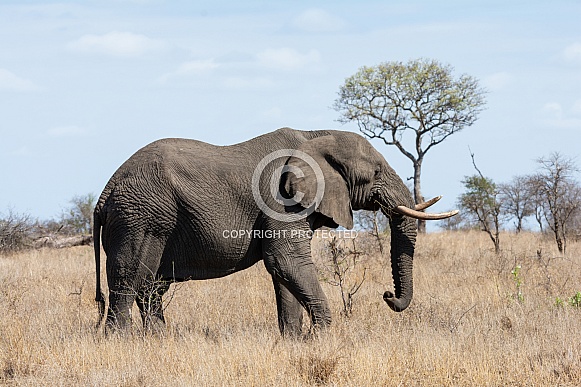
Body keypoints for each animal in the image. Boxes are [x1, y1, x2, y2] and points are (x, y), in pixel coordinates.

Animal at [94, 128, 458, 336]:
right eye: (377, 172)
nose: (387, 295)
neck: (316, 135)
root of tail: (104, 194)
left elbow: (284, 270)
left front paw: (294, 341)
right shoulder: (280, 200)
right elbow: (286, 261)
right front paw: (320, 338)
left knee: (152, 286)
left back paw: (158, 339)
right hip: (140, 217)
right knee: (131, 278)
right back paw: (121, 341)